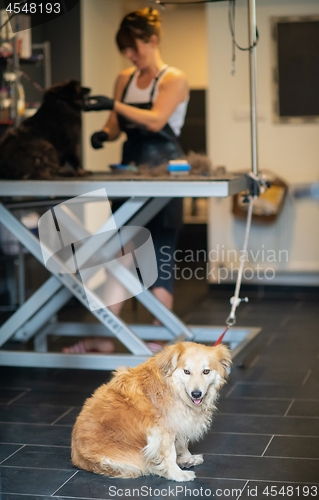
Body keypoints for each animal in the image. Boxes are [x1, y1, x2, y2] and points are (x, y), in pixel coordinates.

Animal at [71, 342, 231, 482]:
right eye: (187, 371)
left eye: (206, 371)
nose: (196, 394)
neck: (173, 387)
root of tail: (78, 457)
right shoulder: (163, 430)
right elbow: (169, 454)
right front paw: (176, 474)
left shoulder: (179, 422)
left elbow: (183, 443)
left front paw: (187, 458)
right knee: (146, 467)